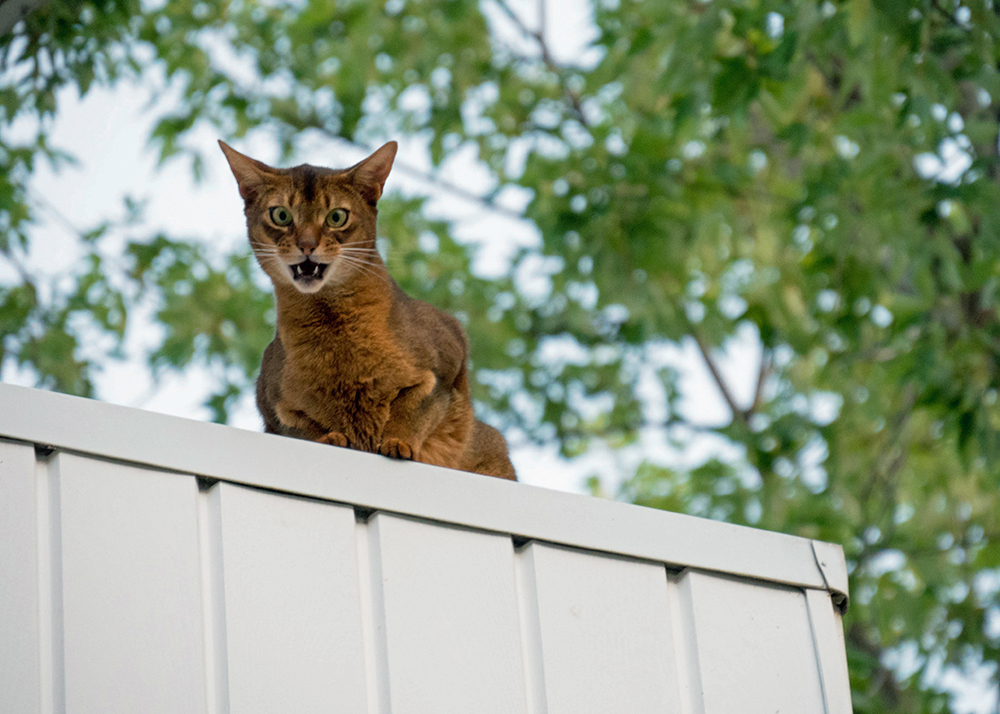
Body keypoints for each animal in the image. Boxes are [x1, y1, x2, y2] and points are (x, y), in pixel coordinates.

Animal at [219, 140, 516, 478]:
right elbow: (300, 426)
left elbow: (414, 405)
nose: (307, 245)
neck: (334, 326)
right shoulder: (272, 404)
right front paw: (331, 437)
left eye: (336, 217)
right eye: (281, 215)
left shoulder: (448, 360)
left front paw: (397, 441)